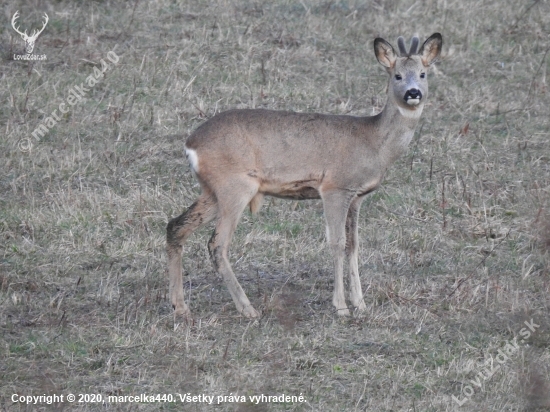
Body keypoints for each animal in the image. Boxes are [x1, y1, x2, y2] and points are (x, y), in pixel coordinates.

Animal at [167, 33, 444, 320]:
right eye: (397, 75)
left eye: (423, 73)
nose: (413, 93)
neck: (374, 142)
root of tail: (191, 144)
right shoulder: (335, 187)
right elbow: (337, 243)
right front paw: (341, 306)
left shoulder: (357, 196)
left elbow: (354, 245)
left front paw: (360, 303)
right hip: (235, 186)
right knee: (217, 244)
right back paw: (248, 309)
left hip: (213, 191)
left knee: (175, 226)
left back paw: (180, 306)